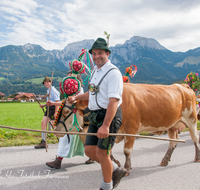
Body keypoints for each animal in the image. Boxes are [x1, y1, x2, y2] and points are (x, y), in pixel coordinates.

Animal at [53, 83, 200, 175]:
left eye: (66, 112)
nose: (55, 131)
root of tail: (182, 85)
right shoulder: (110, 132)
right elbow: (108, 151)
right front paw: (115, 164)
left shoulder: (131, 130)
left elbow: (127, 151)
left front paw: (127, 168)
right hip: (171, 125)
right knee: (173, 142)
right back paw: (165, 160)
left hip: (192, 119)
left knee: (195, 138)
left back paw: (197, 157)